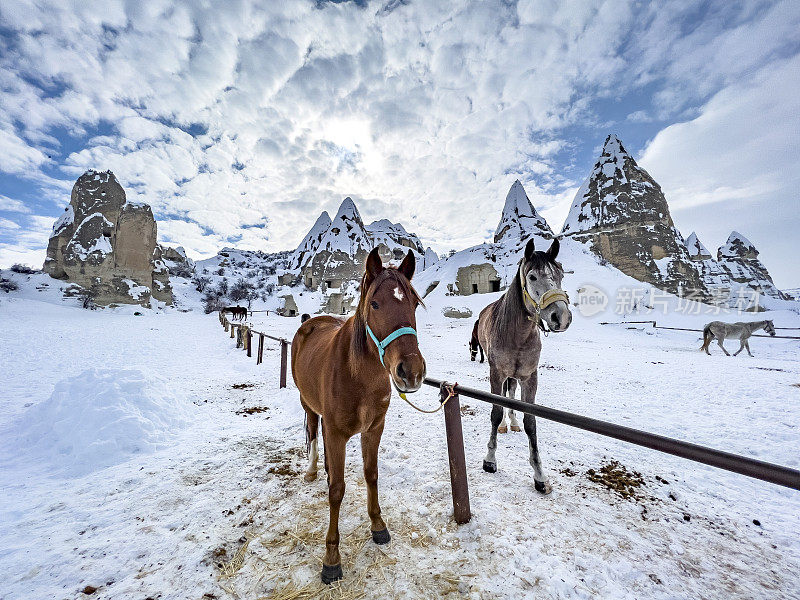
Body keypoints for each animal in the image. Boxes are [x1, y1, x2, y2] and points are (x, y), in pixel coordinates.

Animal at [290, 246, 424, 584]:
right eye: (374, 303)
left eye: (414, 303)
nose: (411, 372)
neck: (358, 376)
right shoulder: (337, 433)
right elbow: (337, 490)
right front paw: (331, 557)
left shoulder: (374, 428)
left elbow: (371, 474)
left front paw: (378, 526)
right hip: (307, 403)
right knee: (313, 432)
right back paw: (313, 470)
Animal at [478, 237, 572, 494]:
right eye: (532, 277)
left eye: (560, 274)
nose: (561, 317)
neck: (517, 334)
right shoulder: (496, 373)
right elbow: (495, 412)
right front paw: (490, 460)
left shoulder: (530, 377)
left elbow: (531, 421)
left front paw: (540, 475)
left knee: (511, 393)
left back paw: (512, 422)